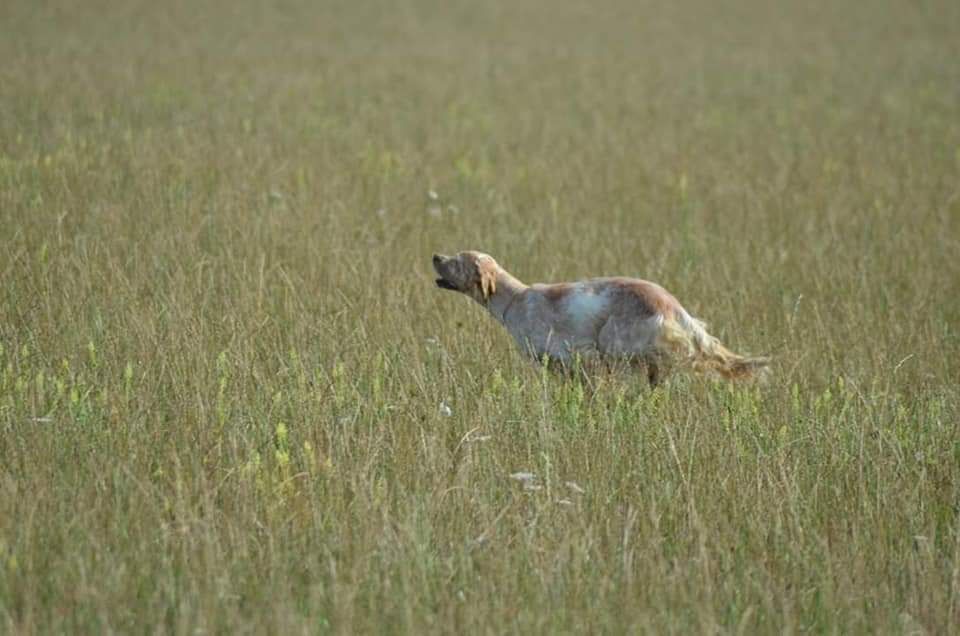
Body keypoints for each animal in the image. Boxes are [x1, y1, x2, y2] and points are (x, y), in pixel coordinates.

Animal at [432, 251, 768, 386]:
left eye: (457, 260)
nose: (435, 256)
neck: (514, 299)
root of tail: (675, 308)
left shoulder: (579, 357)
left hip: (616, 340)